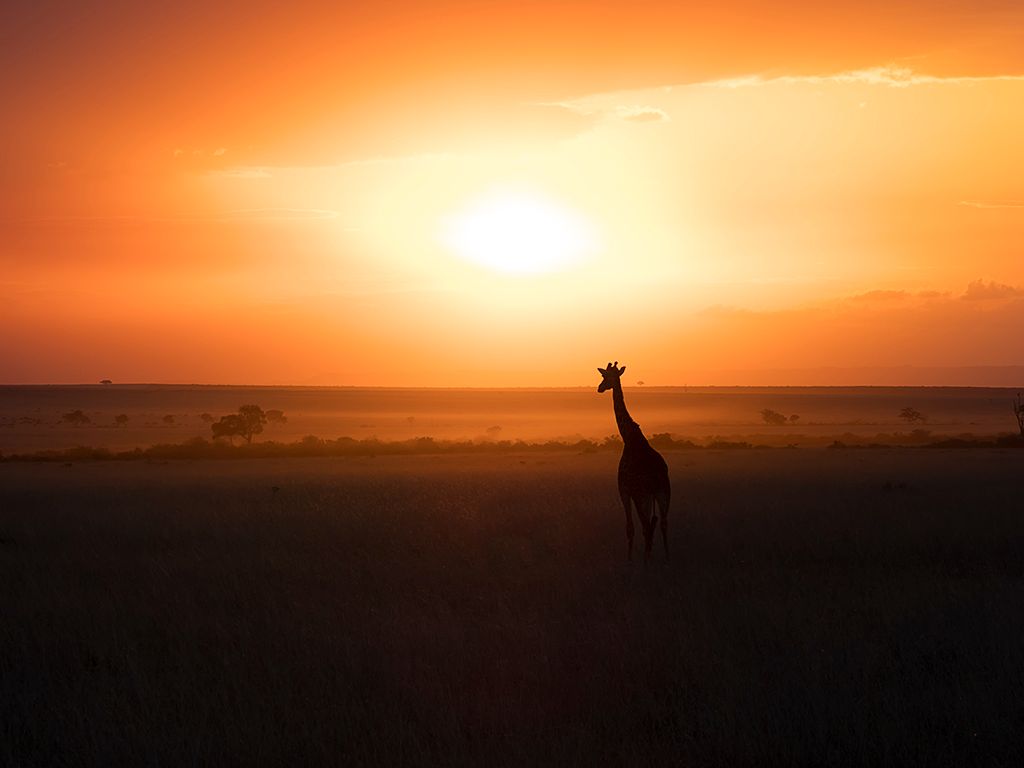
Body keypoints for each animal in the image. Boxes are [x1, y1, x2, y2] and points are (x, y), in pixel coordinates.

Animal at [597, 362, 671, 563]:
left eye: (605, 377)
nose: (599, 388)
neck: (629, 437)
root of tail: (655, 477)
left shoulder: (624, 490)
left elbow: (629, 528)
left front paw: (629, 560)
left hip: (642, 496)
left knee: (646, 526)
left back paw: (646, 562)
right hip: (663, 494)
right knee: (662, 524)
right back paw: (667, 558)